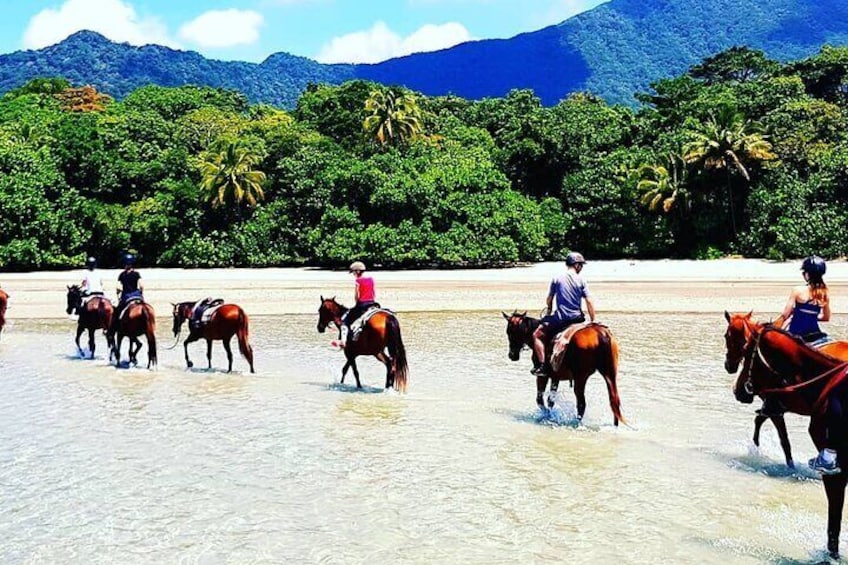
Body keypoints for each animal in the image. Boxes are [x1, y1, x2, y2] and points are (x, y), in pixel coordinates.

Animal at [500, 310, 628, 426]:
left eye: (509, 332)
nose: (512, 355)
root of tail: (601, 334)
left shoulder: (542, 376)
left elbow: (539, 399)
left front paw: (546, 414)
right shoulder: (555, 377)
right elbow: (550, 400)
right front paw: (549, 415)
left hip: (580, 378)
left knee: (581, 403)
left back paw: (576, 423)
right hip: (610, 374)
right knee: (614, 400)